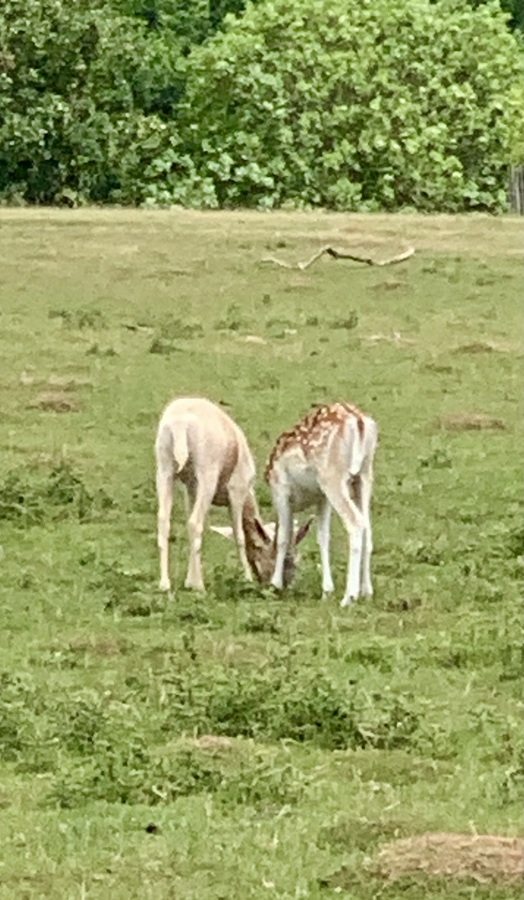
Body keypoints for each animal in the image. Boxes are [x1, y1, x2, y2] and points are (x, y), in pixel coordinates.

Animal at [155, 396, 300, 593]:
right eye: (287, 558)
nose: (284, 585)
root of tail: (180, 421)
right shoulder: (237, 492)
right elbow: (239, 535)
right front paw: (246, 578)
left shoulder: (190, 490)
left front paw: (189, 580)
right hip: (207, 478)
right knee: (195, 523)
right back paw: (200, 586)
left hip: (165, 472)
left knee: (164, 520)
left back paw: (165, 584)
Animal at [263, 402, 378, 607]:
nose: (287, 582)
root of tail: (359, 421)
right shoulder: (321, 498)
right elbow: (323, 537)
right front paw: (326, 591)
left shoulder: (280, 489)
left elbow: (283, 537)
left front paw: (275, 585)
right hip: (364, 475)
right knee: (367, 526)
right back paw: (367, 591)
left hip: (332, 477)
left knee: (355, 522)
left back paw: (349, 597)